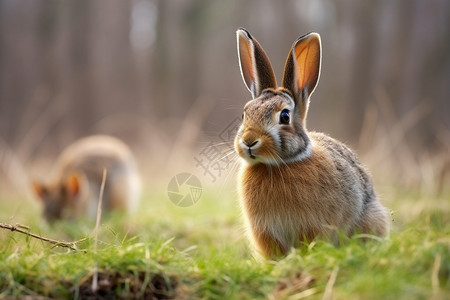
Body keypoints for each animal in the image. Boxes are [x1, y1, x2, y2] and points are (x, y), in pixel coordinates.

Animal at [234, 28, 388, 258]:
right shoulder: (266, 232)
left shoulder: (313, 226)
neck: (277, 165)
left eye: (285, 116)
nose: (249, 141)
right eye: (245, 114)